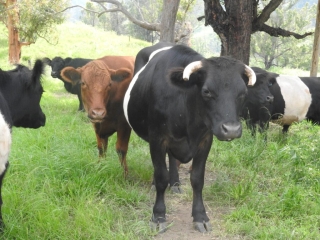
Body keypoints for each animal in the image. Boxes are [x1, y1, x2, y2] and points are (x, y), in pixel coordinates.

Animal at [122, 42, 255, 232]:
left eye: (243, 92)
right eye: (206, 91)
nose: (231, 129)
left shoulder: (205, 140)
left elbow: (197, 179)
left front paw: (200, 216)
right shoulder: (157, 138)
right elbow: (161, 176)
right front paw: (158, 216)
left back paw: (175, 182)